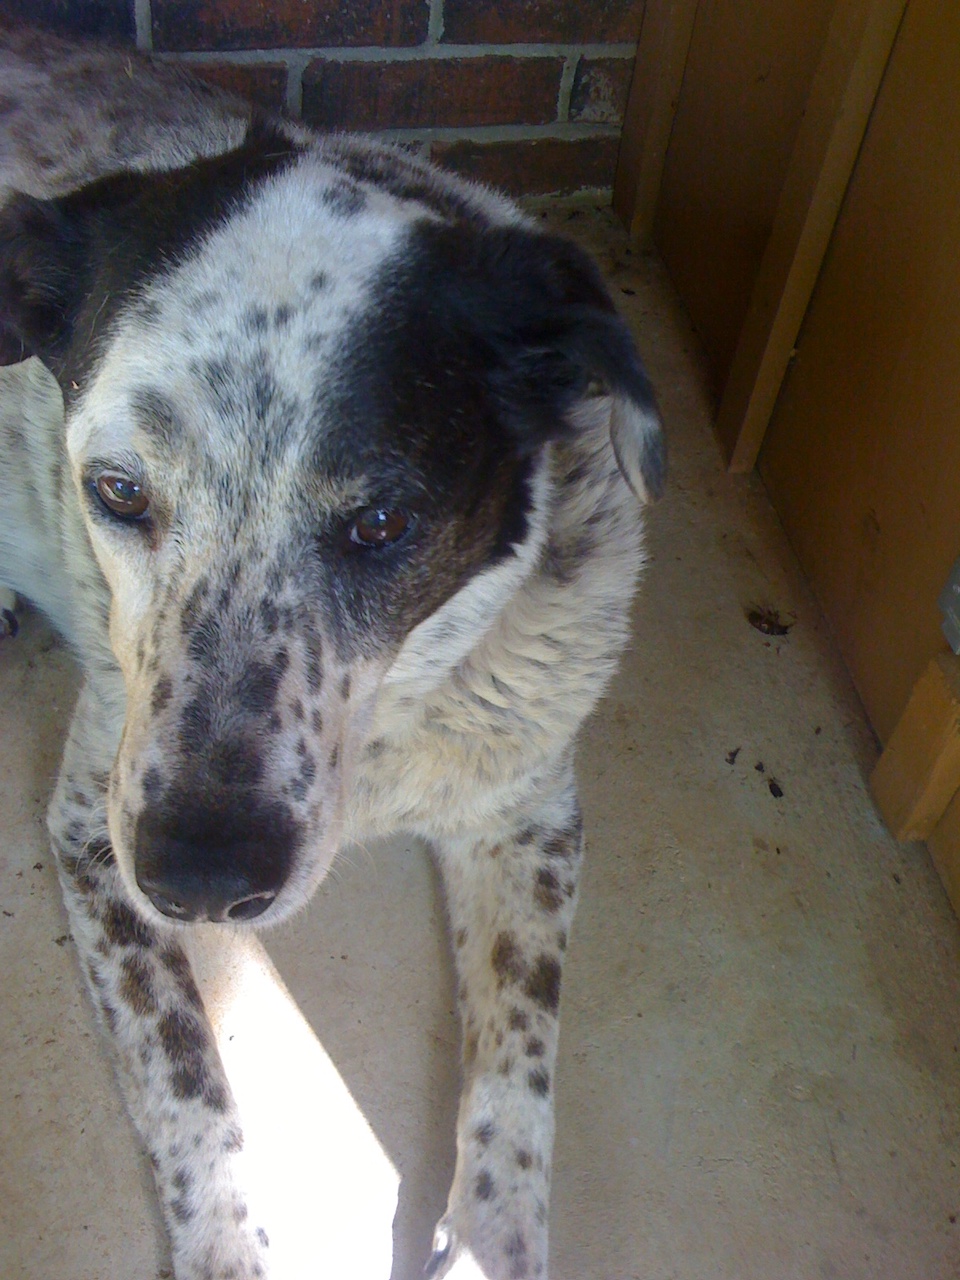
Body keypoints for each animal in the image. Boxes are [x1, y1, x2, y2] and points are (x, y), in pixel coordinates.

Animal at [0, 27, 660, 1280]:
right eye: (117, 490)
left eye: (384, 523)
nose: (203, 877)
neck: (392, 729)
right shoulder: (98, 831)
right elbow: (190, 1087)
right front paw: (228, 1246)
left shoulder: (531, 810)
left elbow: (521, 1070)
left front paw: (489, 1244)